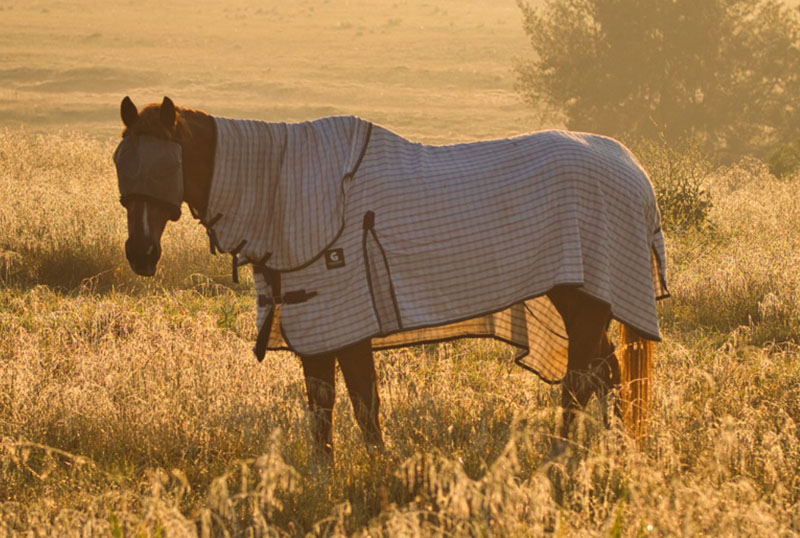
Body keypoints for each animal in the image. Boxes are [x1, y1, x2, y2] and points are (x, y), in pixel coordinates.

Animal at [115, 96, 664, 456]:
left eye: (165, 166)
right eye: (123, 163)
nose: (140, 253)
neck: (281, 188)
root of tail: (635, 171)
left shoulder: (344, 320)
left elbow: (361, 403)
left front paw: (378, 470)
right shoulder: (317, 327)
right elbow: (323, 408)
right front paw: (325, 477)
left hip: (585, 301)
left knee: (581, 379)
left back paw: (561, 455)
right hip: (581, 301)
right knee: (607, 373)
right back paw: (614, 450)